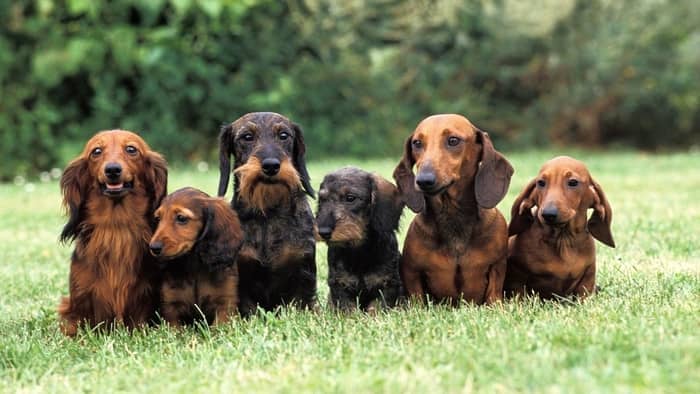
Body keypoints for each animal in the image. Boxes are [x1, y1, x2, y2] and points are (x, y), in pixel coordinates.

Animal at [150, 188, 243, 326]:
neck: (194, 267)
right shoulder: (171, 307)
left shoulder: (225, 304)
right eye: (158, 218)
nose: (153, 247)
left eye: (181, 218)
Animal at [318, 168, 404, 312]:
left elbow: (376, 309)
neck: (359, 251)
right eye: (322, 200)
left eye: (350, 198)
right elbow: (349, 310)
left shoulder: (387, 284)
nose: (323, 232)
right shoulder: (339, 285)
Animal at [506, 157, 616, 298]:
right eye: (541, 183)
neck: (563, 239)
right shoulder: (517, 276)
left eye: (573, 182)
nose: (548, 214)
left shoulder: (588, 276)